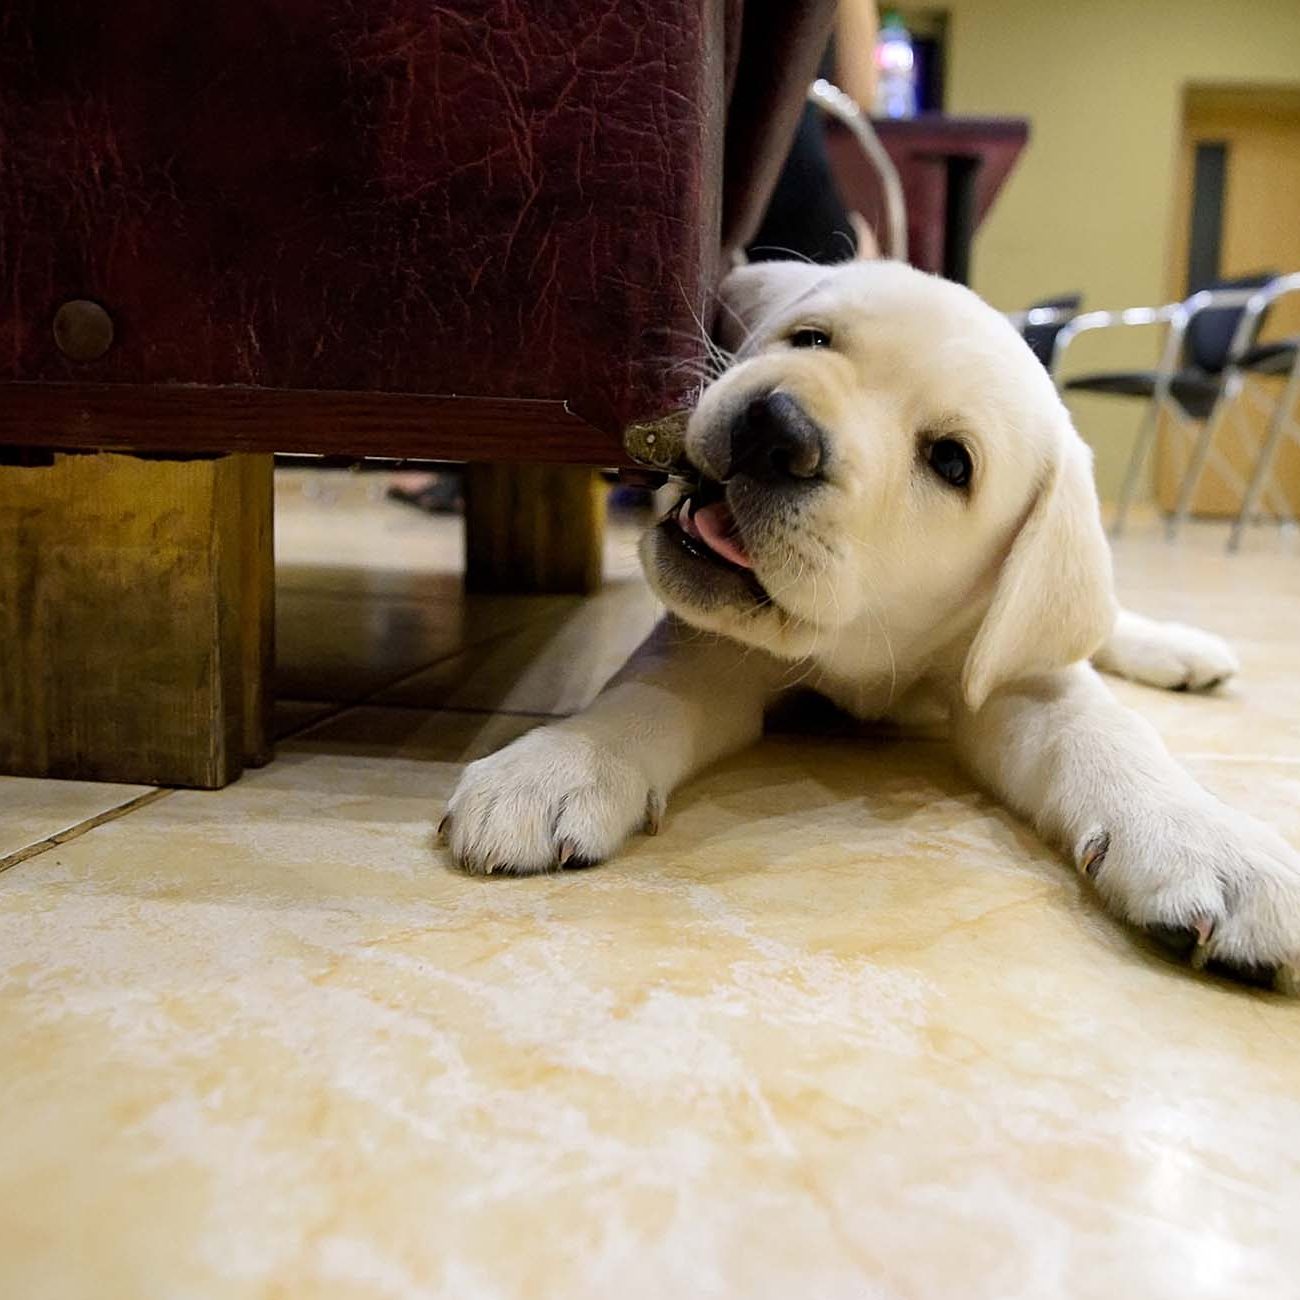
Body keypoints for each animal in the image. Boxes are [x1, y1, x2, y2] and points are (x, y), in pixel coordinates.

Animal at [447, 263, 1300, 993]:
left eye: (952, 462)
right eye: (811, 340)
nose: (776, 429)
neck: (865, 642)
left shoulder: (1017, 678)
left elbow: (1108, 735)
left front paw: (1209, 840)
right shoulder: (715, 643)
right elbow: (648, 690)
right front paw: (562, 761)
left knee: (1105, 621)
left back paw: (1181, 649)